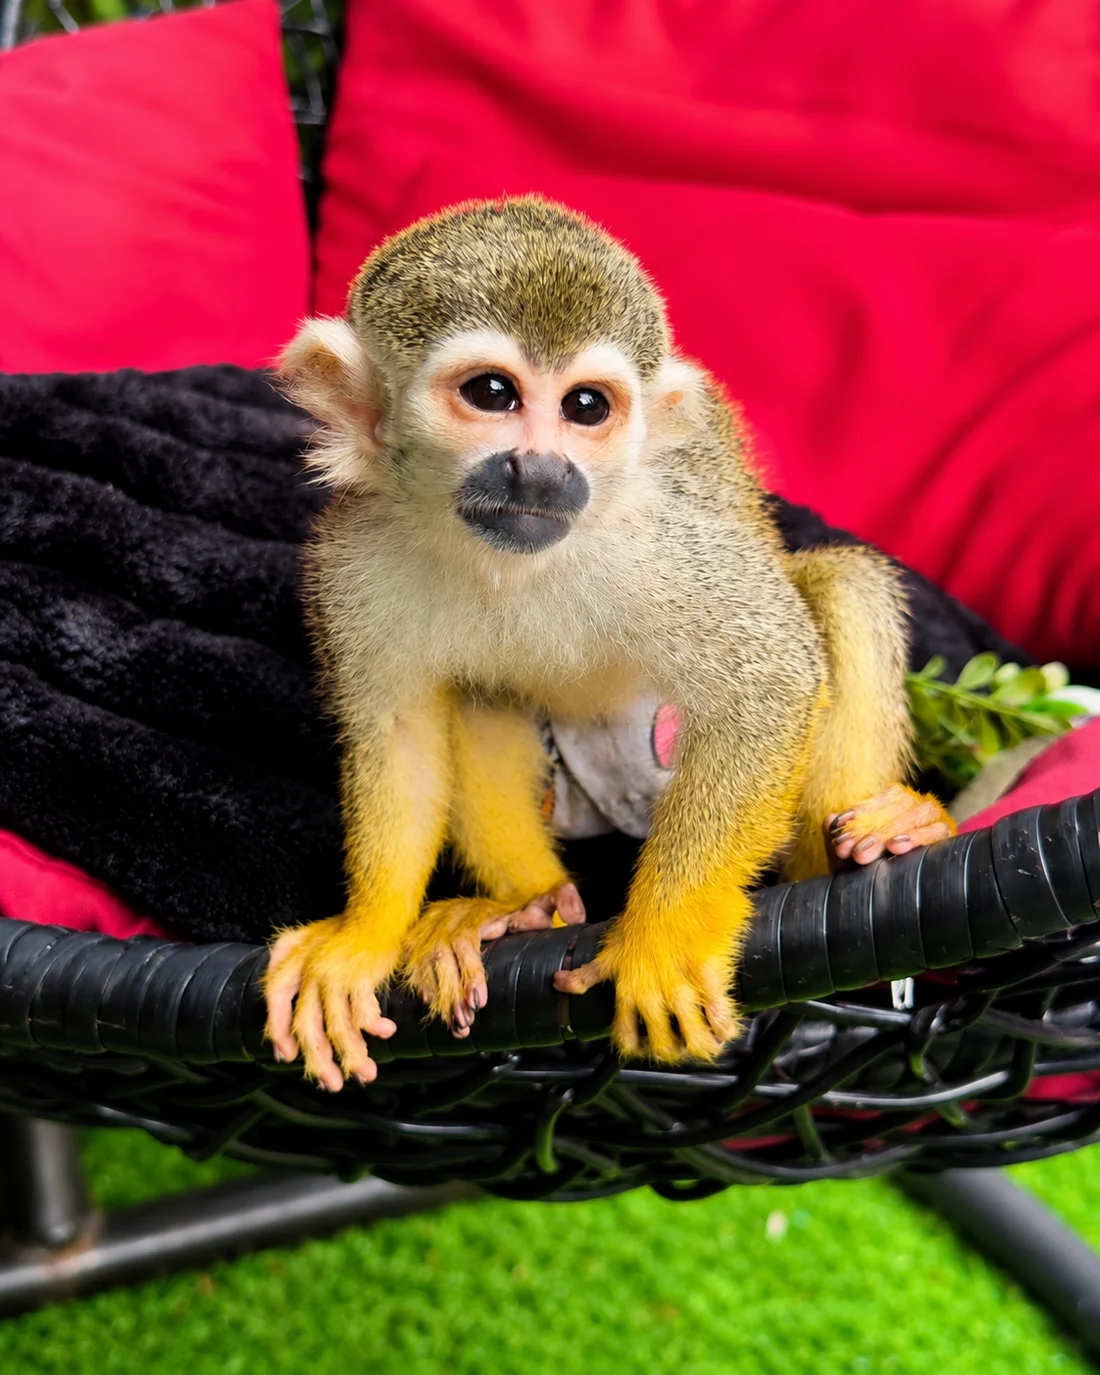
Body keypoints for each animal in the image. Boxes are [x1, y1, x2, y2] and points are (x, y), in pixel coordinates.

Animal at [263, 195, 956, 1092]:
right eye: (492, 393)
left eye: (586, 407)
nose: (540, 469)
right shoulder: (355, 558)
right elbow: (401, 731)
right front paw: (363, 937)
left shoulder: (663, 539)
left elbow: (767, 682)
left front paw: (661, 941)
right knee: (479, 695)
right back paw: (525, 908)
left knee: (842, 588)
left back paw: (868, 845)